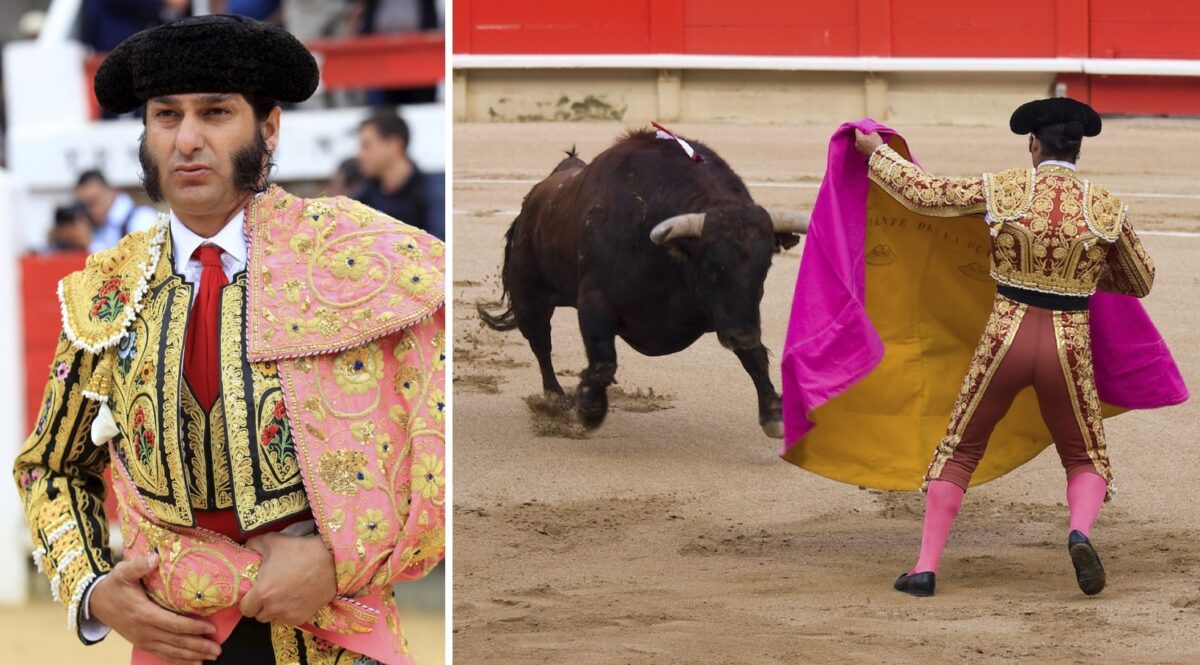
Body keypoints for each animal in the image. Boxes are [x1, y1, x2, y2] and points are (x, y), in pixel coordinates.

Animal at [477, 128, 808, 437]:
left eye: (765, 266)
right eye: (710, 266)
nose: (742, 335)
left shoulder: (729, 314)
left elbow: (754, 356)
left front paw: (773, 414)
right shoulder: (595, 302)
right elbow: (603, 362)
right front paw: (589, 409)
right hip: (531, 299)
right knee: (541, 344)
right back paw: (556, 398)